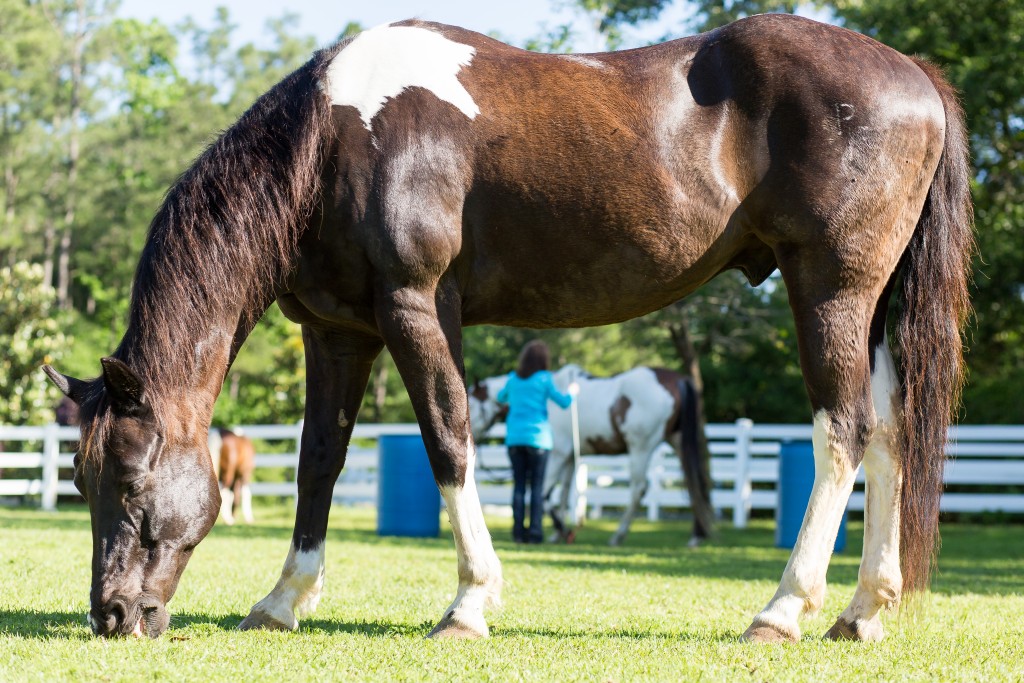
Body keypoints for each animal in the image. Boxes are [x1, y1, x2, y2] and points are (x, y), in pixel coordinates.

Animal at [470, 364, 714, 547]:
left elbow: (545, 493)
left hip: (641, 447)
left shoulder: (557, 454)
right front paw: (557, 533)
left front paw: (563, 530)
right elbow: (564, 493)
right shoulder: (570, 458)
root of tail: (678, 379)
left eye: (471, 403)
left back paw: (618, 535)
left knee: (639, 489)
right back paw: (697, 536)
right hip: (678, 442)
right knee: (694, 482)